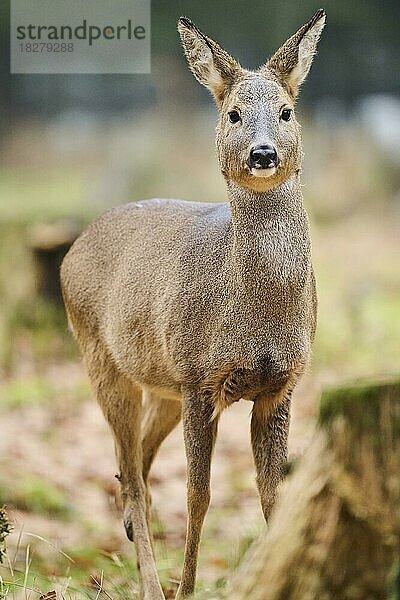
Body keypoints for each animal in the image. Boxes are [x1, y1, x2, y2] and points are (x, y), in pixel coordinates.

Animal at [61, 9, 326, 600]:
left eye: (287, 111)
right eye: (233, 113)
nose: (263, 153)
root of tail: (73, 245)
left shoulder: (280, 386)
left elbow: (273, 494)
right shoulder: (201, 379)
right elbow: (198, 495)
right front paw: (187, 587)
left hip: (163, 385)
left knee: (133, 471)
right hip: (103, 360)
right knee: (137, 482)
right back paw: (152, 586)